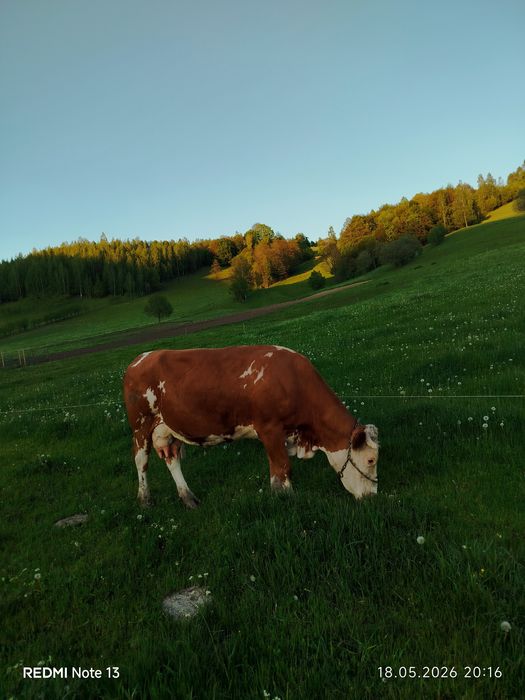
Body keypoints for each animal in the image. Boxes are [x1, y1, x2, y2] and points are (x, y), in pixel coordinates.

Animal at [123, 345, 379, 508]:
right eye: (370, 460)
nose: (372, 497)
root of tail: (140, 358)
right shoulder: (270, 429)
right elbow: (283, 467)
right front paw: (286, 498)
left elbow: (277, 469)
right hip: (141, 426)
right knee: (140, 460)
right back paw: (145, 500)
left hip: (169, 429)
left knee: (172, 459)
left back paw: (189, 498)